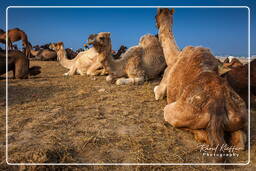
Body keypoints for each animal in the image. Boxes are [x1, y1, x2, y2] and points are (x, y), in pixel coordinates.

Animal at [155, 8, 247, 163]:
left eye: (156, 15)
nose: (155, 31)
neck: (174, 57)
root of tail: (217, 108)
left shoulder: (166, 76)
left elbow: (157, 92)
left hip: (173, 110)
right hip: (240, 115)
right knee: (240, 142)